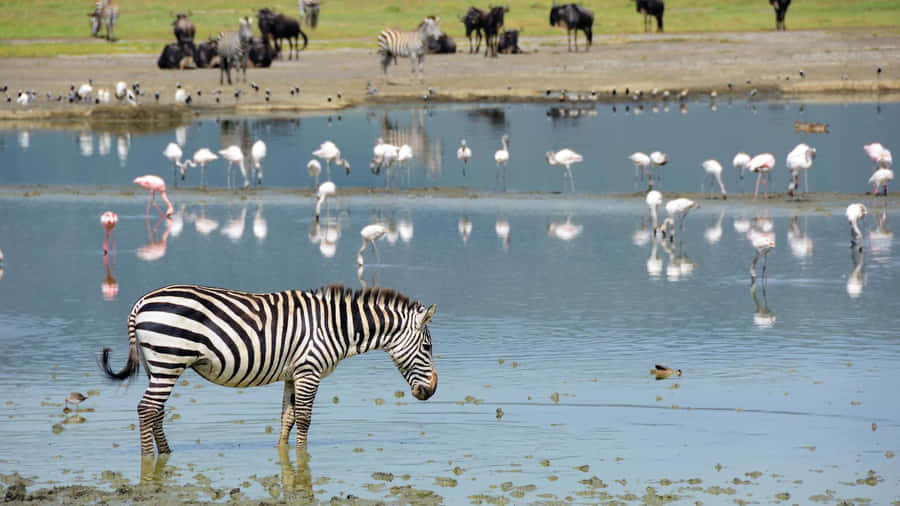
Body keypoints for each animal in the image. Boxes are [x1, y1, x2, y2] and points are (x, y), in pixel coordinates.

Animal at [100, 284, 438, 456]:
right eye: (428, 347)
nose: (433, 390)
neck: (334, 326)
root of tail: (141, 302)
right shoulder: (309, 370)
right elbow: (304, 419)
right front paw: (302, 457)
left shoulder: (293, 373)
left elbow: (287, 417)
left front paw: (283, 452)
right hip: (169, 360)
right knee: (147, 408)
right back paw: (149, 458)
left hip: (158, 365)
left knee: (156, 411)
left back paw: (167, 452)